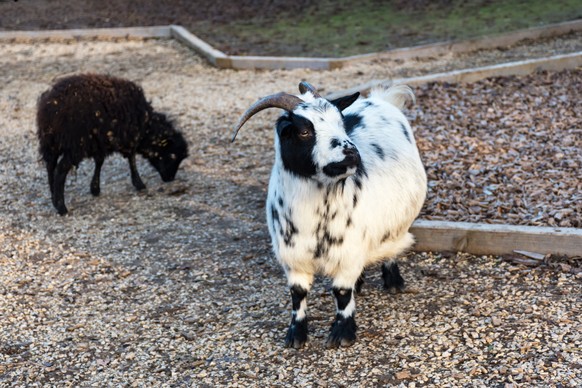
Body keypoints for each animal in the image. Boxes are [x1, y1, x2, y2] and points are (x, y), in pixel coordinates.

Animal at [37, 73, 188, 215]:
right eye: (173, 156)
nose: (170, 179)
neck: (147, 127)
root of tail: (50, 109)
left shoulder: (100, 141)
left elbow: (100, 161)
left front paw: (95, 188)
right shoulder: (128, 136)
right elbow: (131, 158)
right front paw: (139, 184)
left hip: (50, 143)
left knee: (50, 167)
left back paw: (53, 198)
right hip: (75, 144)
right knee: (60, 170)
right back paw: (61, 207)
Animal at [233, 82, 428, 348]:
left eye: (341, 123)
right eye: (304, 131)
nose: (351, 153)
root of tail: (381, 99)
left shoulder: (348, 253)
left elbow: (341, 292)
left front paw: (342, 334)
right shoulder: (292, 256)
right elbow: (298, 294)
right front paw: (295, 335)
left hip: (396, 224)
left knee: (391, 246)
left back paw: (393, 282)